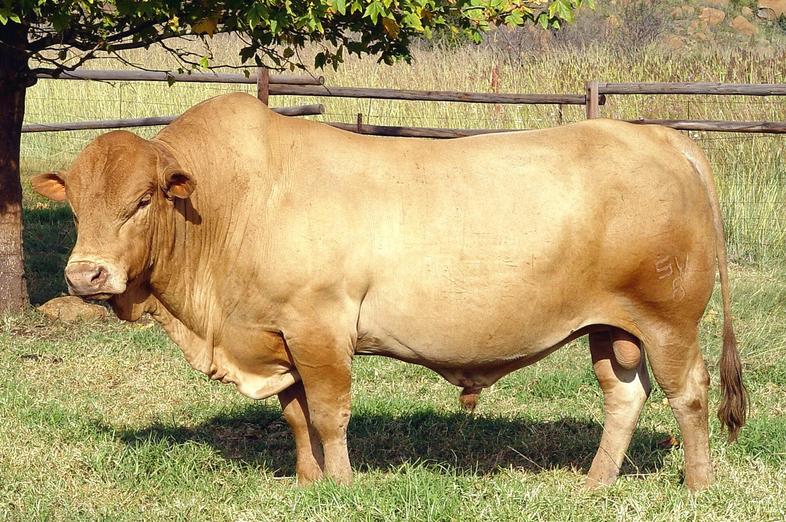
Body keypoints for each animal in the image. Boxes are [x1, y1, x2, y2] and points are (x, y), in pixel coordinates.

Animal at [33, 92, 748, 488]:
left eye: (142, 199)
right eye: (76, 202)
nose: (84, 275)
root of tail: (659, 136)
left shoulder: (319, 326)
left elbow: (328, 412)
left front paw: (342, 485)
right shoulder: (276, 333)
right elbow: (295, 413)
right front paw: (307, 483)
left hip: (668, 320)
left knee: (688, 393)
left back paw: (697, 485)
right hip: (610, 326)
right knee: (624, 395)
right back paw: (595, 485)